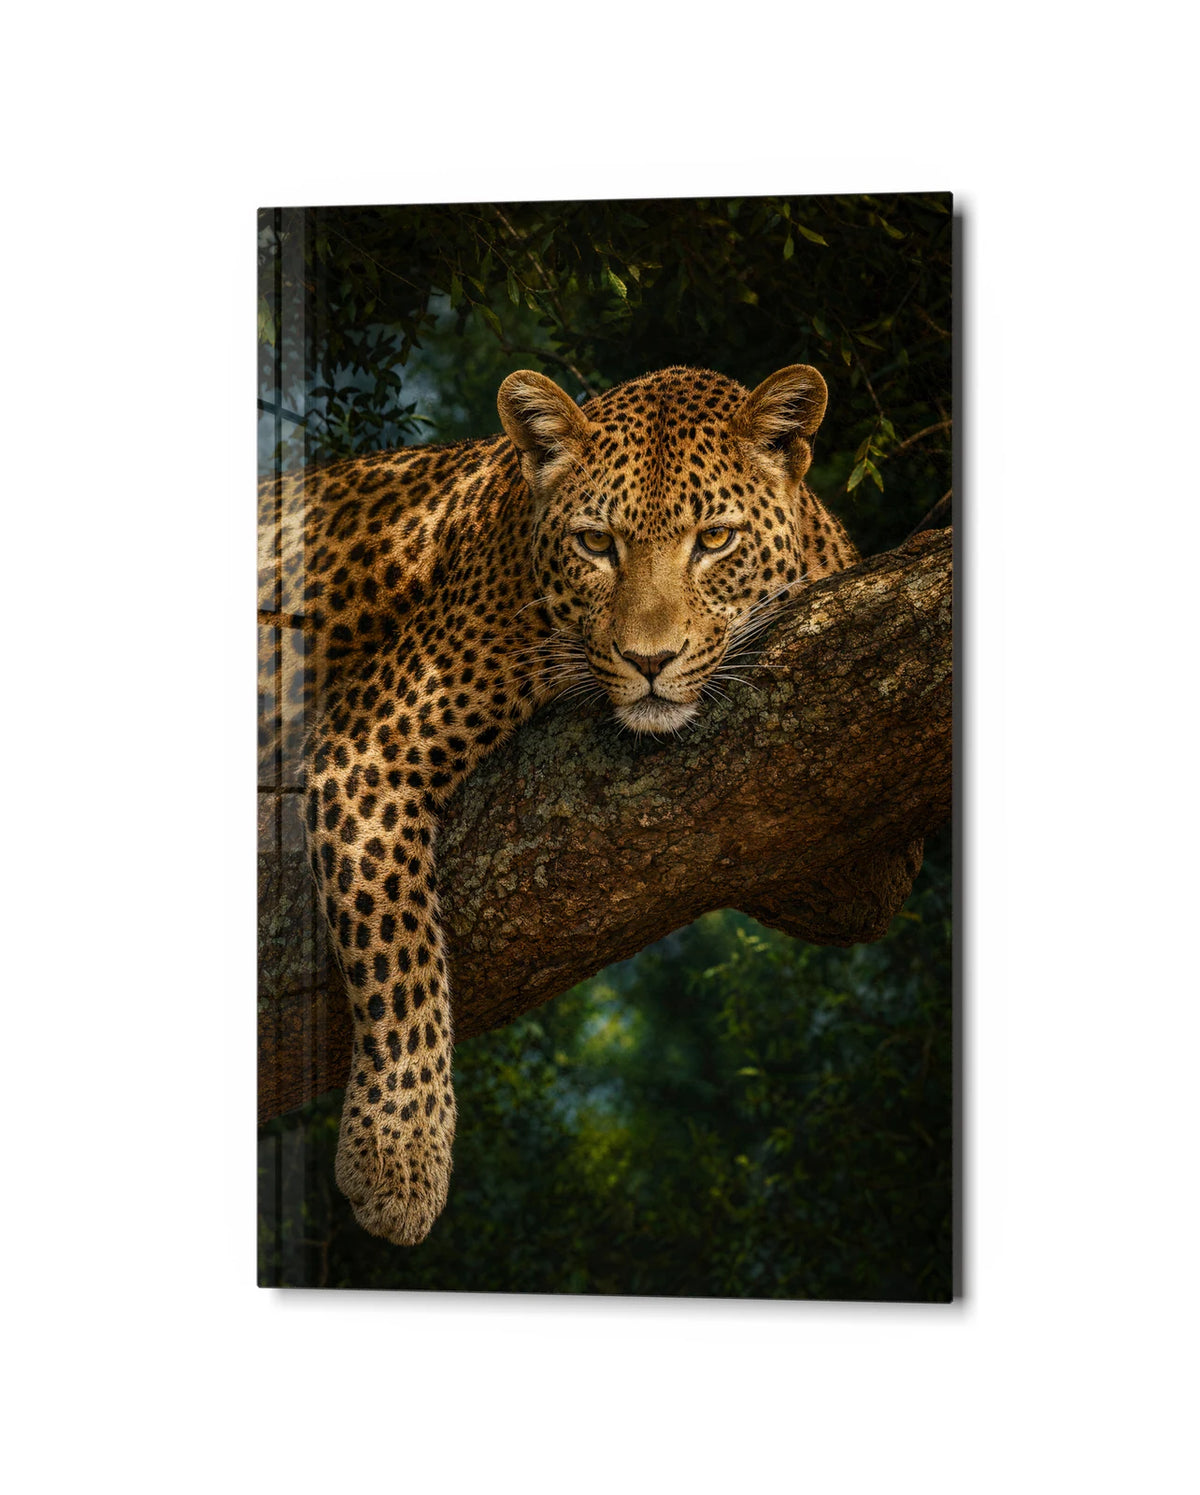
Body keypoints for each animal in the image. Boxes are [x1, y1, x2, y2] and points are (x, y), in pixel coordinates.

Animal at [258, 362, 858, 1246]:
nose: (651, 660)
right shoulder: (369, 744)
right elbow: (399, 955)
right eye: (596, 543)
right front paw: (400, 1156)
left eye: (715, 539)